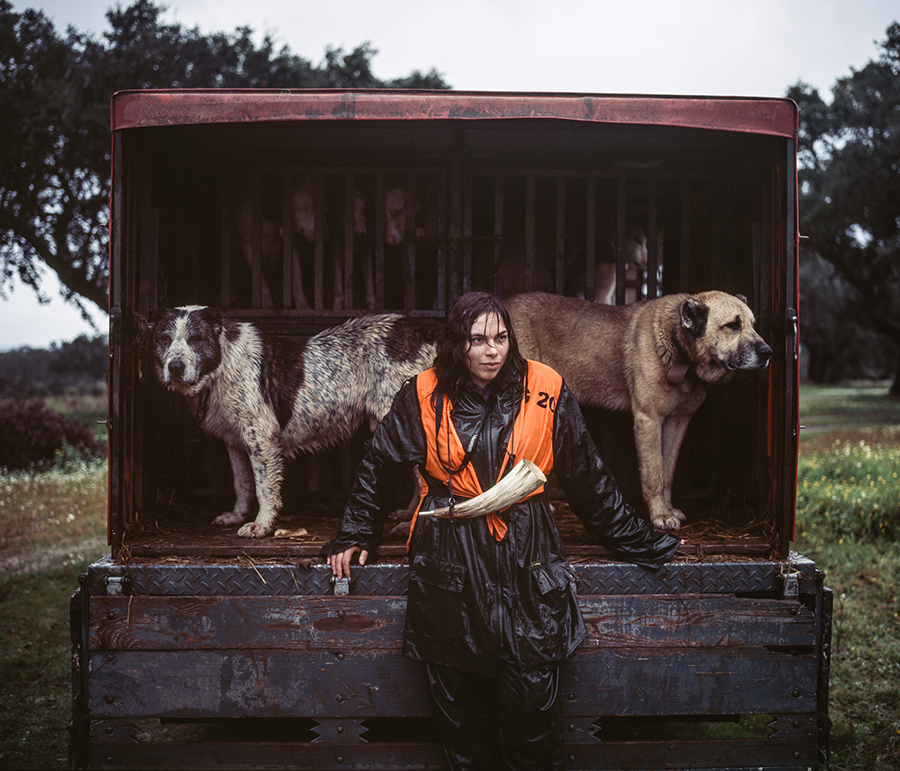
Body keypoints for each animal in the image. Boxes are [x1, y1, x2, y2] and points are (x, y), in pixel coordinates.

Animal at [143, 306, 436, 536]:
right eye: (164, 339)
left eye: (196, 339)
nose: (175, 368)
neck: (222, 365)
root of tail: (426, 332)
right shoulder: (234, 441)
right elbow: (241, 484)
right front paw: (236, 516)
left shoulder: (261, 437)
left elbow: (263, 487)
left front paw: (261, 526)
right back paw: (407, 516)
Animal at [506, 290, 772, 532]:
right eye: (732, 326)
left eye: (753, 325)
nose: (768, 352)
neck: (678, 347)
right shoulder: (649, 420)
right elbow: (654, 473)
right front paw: (660, 516)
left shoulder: (677, 422)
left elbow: (667, 472)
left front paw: (667, 509)